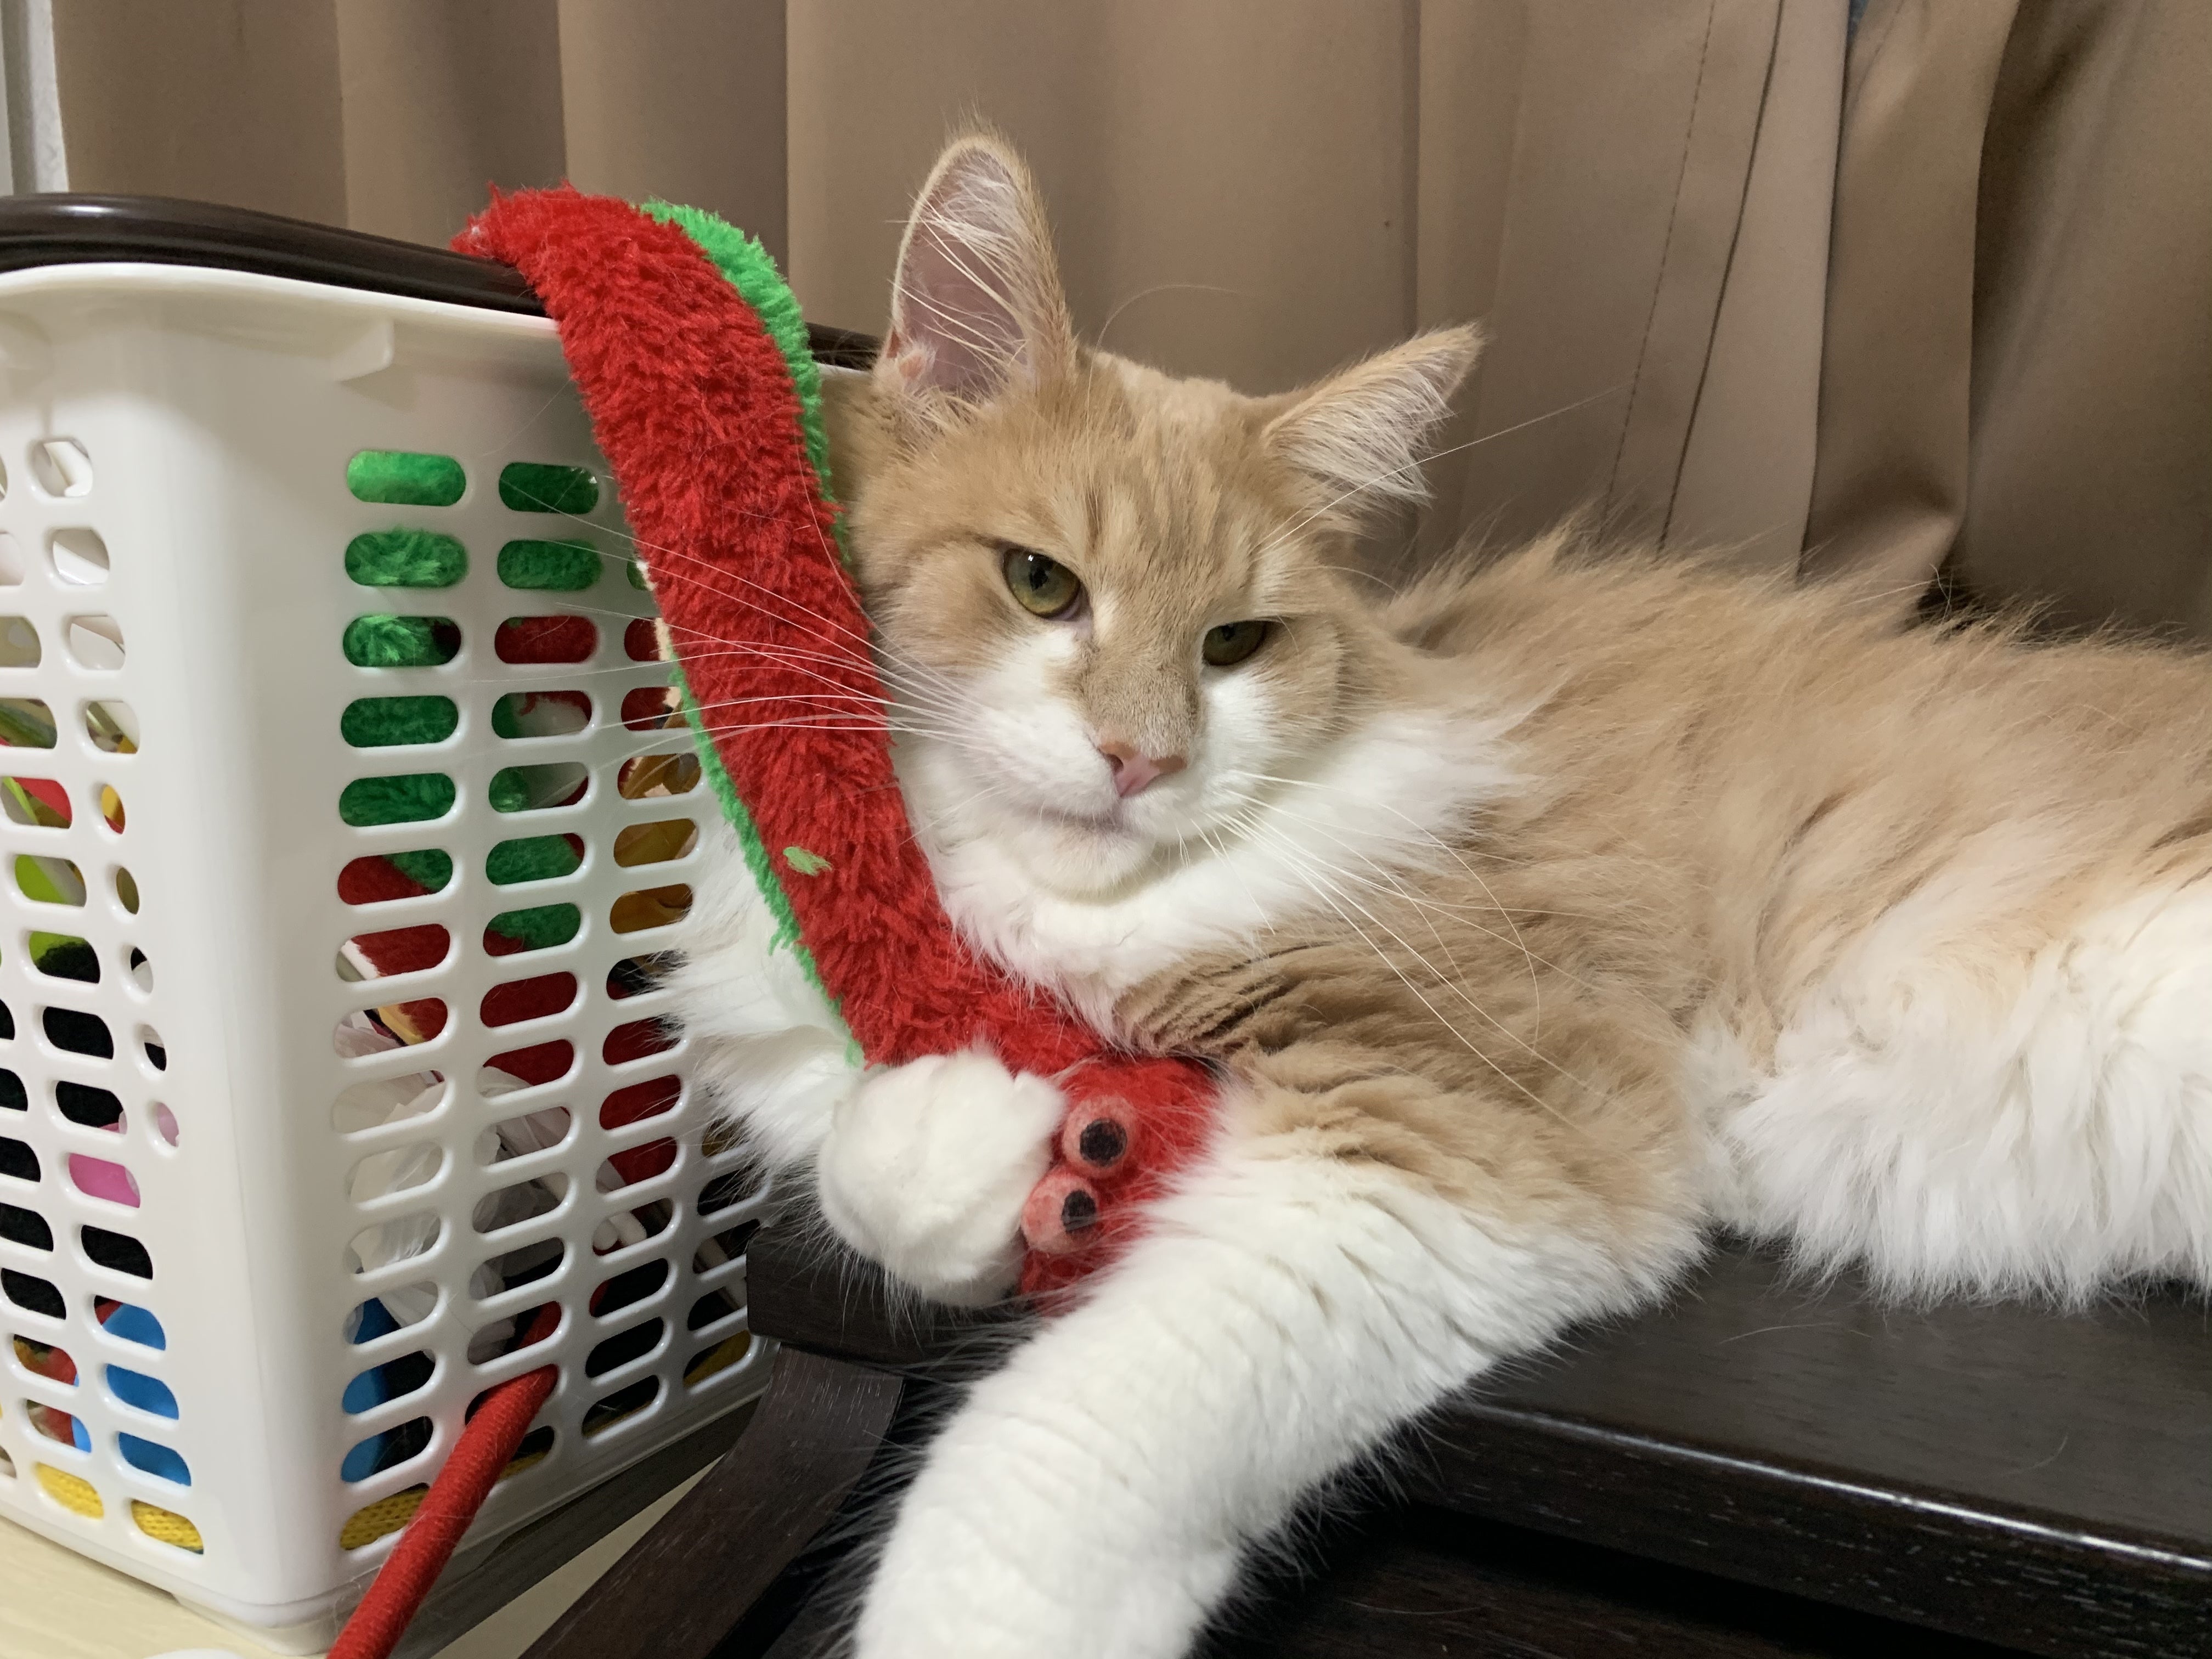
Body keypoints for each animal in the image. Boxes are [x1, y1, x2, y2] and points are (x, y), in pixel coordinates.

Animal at [666, 132, 2212, 1658]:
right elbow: (868, 1156)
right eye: (1041, 584)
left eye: (1236, 645)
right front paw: (981, 1145)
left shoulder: (1462, 1126)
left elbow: (1044, 1459)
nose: (1140, 760)